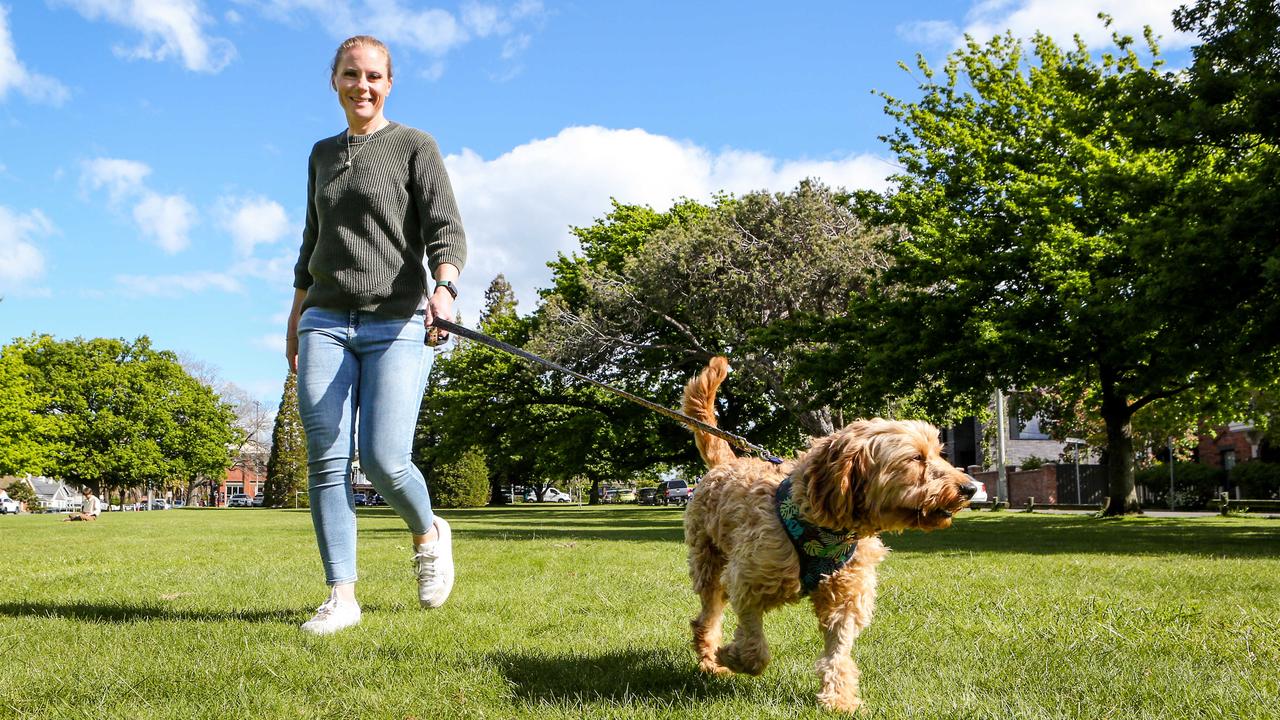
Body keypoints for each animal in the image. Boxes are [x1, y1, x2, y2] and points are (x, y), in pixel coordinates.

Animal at [686, 353, 972, 712]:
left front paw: (839, 698)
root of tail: (727, 463)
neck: (828, 527)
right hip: (708, 561)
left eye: (937, 453)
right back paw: (710, 659)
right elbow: (755, 645)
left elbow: (838, 652)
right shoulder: (748, 579)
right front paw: (732, 657)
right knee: (707, 616)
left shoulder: (846, 595)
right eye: (916, 458)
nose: (970, 488)